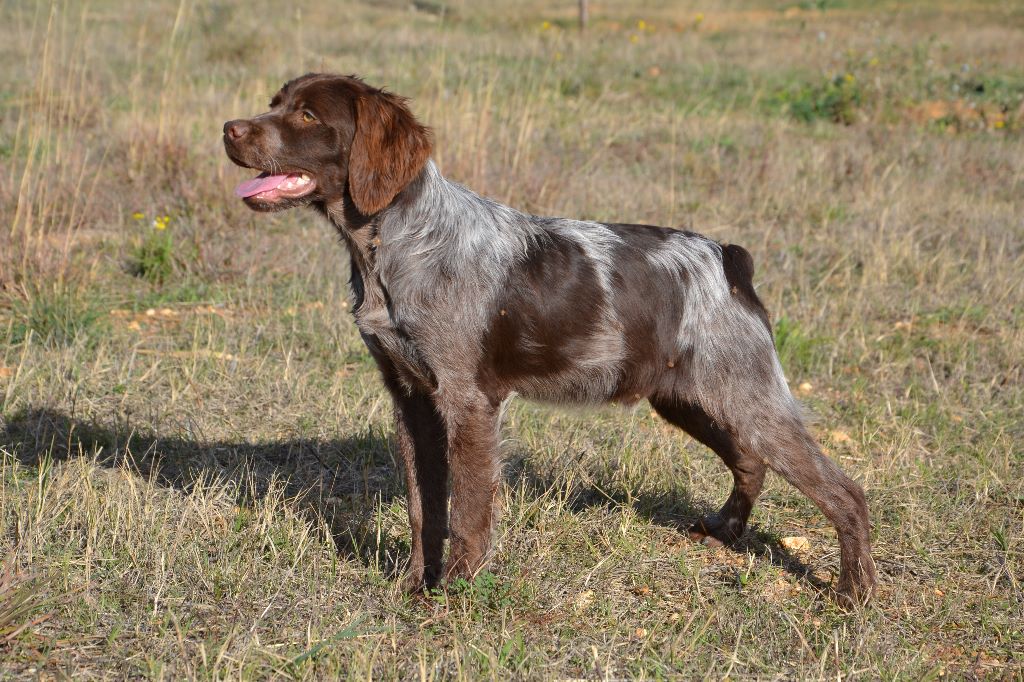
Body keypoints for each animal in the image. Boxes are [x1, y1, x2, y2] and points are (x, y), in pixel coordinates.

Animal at [224, 73, 880, 602]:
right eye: (275, 103)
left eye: (309, 116)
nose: (228, 130)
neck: (397, 242)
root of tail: (728, 259)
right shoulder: (411, 401)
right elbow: (422, 508)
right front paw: (415, 584)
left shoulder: (468, 403)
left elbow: (467, 514)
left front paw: (455, 594)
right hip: (690, 399)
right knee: (750, 461)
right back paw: (726, 530)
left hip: (746, 396)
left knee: (844, 492)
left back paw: (853, 593)